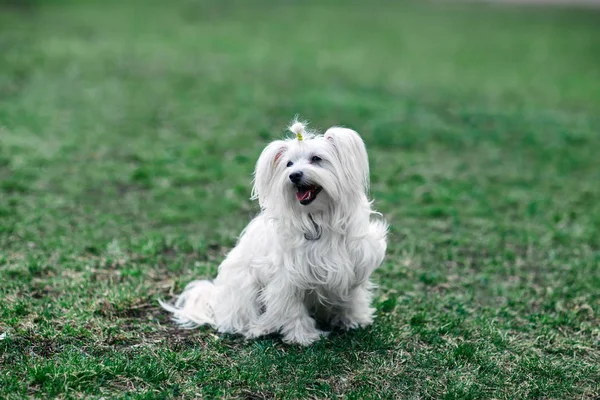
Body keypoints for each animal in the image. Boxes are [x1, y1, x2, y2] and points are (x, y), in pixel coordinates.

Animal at [159, 118, 386, 344]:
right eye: (289, 164)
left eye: (316, 159)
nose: (294, 175)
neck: (318, 219)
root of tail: (215, 299)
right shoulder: (287, 279)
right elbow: (292, 309)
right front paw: (303, 336)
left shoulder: (355, 265)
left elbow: (353, 297)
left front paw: (355, 320)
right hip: (245, 288)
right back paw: (259, 328)